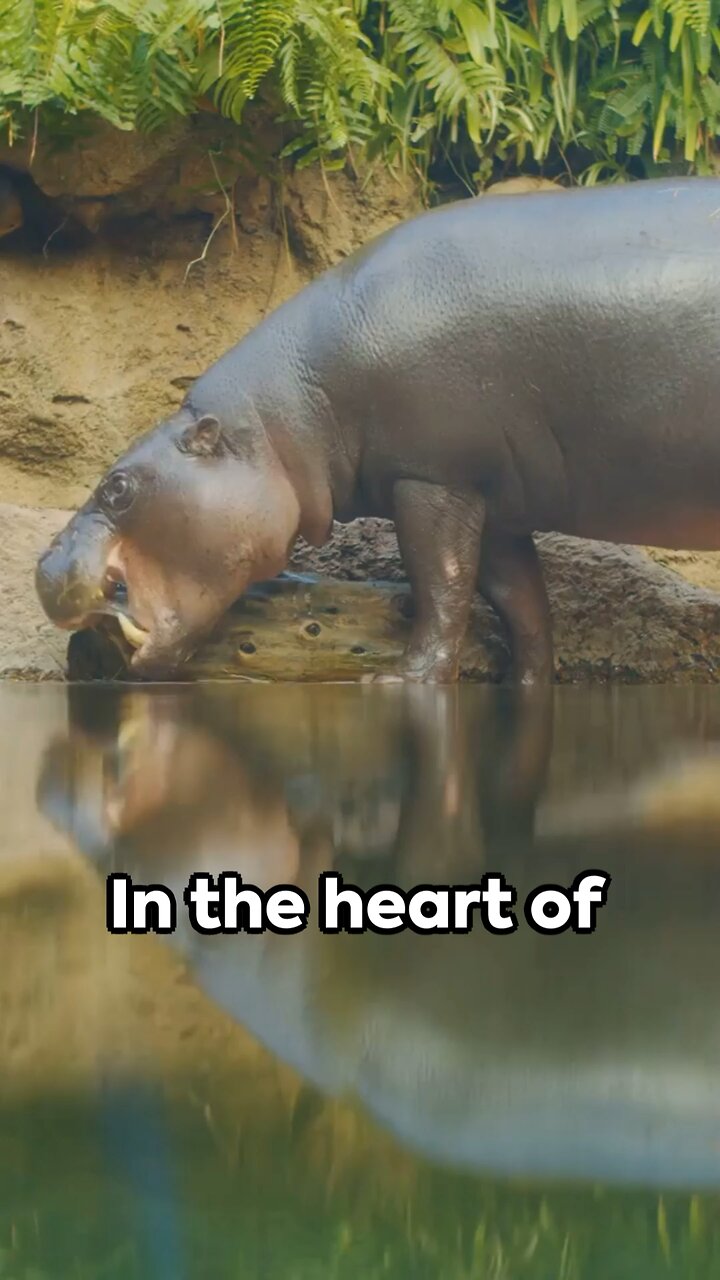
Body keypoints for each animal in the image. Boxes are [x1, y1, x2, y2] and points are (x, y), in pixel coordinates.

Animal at [35, 177, 720, 682]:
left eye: (117, 486)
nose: (43, 565)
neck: (278, 422)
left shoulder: (432, 478)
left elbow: (442, 584)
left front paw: (397, 679)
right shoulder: (497, 499)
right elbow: (520, 601)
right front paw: (527, 681)